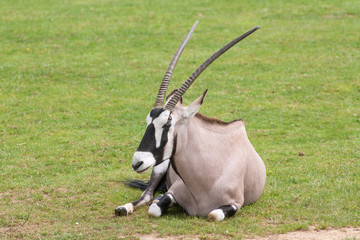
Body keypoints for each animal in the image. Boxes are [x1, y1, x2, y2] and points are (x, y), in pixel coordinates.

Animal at [116, 22, 266, 221]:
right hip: (160, 166)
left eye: (168, 123)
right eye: (148, 121)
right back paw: (123, 208)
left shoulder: (235, 204)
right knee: (147, 195)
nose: (137, 162)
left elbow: (213, 215)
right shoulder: (172, 192)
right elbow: (154, 208)